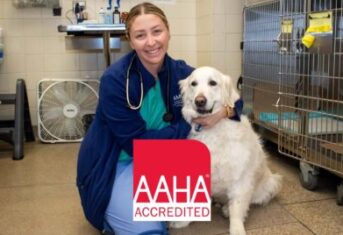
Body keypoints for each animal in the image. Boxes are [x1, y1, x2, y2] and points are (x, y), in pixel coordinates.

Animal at [171, 66, 284, 235]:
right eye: (193, 83)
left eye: (213, 83)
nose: (199, 101)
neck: (213, 130)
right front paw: (182, 222)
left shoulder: (241, 178)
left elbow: (237, 208)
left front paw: (236, 229)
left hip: (271, 184)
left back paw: (226, 209)